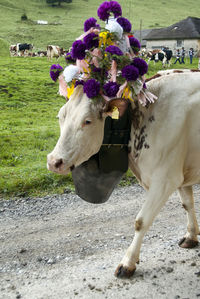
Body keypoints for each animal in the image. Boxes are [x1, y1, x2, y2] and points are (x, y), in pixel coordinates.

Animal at [47, 69, 200, 278]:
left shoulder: (165, 178)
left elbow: (141, 221)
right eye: (60, 116)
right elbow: (188, 205)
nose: (54, 161)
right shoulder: (181, 172)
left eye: (87, 121)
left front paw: (128, 263)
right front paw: (191, 236)